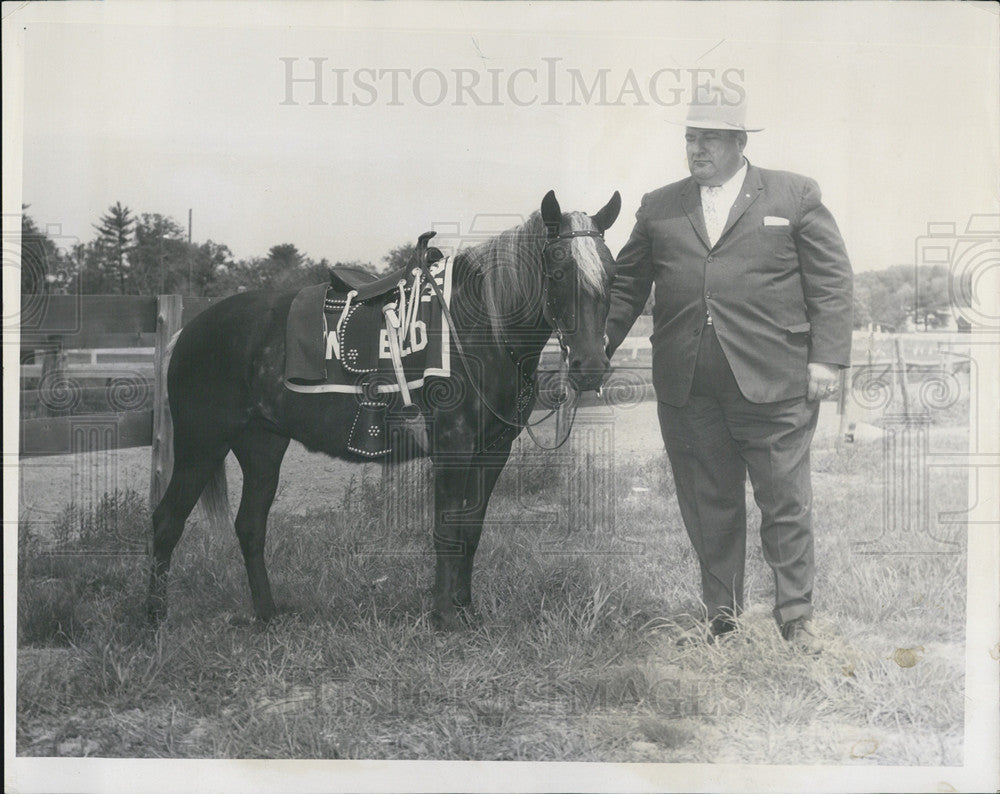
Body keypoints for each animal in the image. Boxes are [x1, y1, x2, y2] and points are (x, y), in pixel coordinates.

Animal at [146, 189, 616, 628]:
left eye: (611, 274)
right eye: (558, 271)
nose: (591, 366)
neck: (480, 328)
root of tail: (189, 330)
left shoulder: (491, 452)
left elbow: (471, 530)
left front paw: (466, 610)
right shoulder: (453, 446)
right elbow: (447, 530)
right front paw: (445, 618)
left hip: (261, 446)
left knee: (249, 525)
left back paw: (267, 614)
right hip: (201, 444)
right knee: (167, 521)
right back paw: (154, 619)